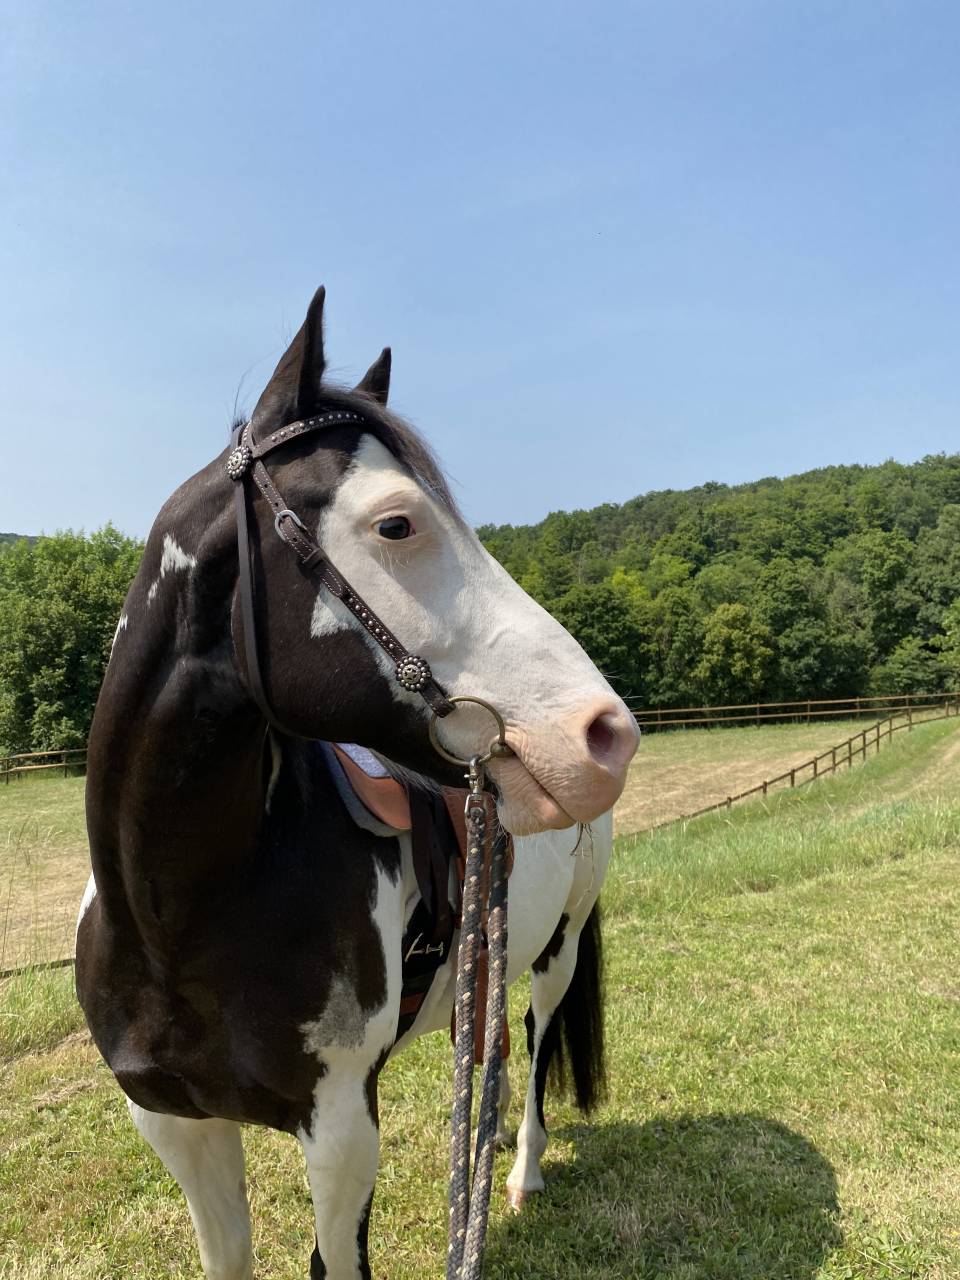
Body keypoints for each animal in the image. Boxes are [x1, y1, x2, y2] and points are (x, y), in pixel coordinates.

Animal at [76, 287, 639, 1280]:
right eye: (397, 524)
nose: (604, 736)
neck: (177, 918)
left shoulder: (340, 1132)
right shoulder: (175, 1123)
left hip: (558, 949)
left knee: (535, 1045)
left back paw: (521, 1168)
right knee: (490, 1041)